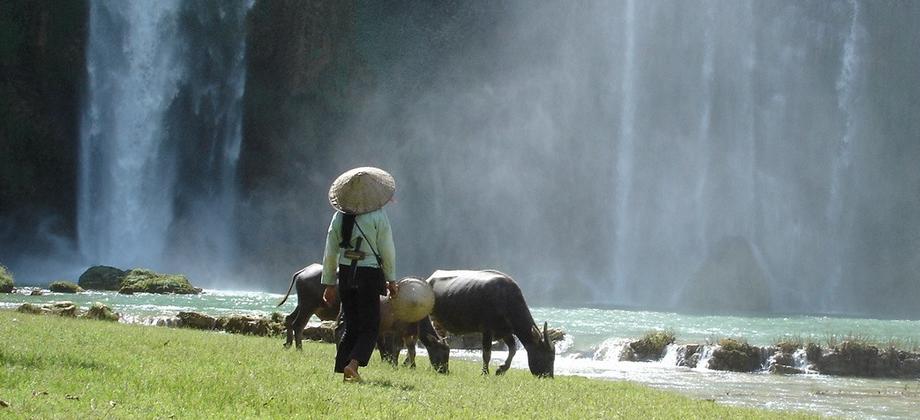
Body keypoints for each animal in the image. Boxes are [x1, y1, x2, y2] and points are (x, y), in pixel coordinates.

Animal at [424, 270, 552, 378]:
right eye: (546, 355)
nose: (549, 376)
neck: (506, 299)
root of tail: (429, 279)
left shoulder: (505, 332)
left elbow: (513, 349)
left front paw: (501, 369)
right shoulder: (487, 330)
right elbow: (487, 354)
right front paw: (485, 373)